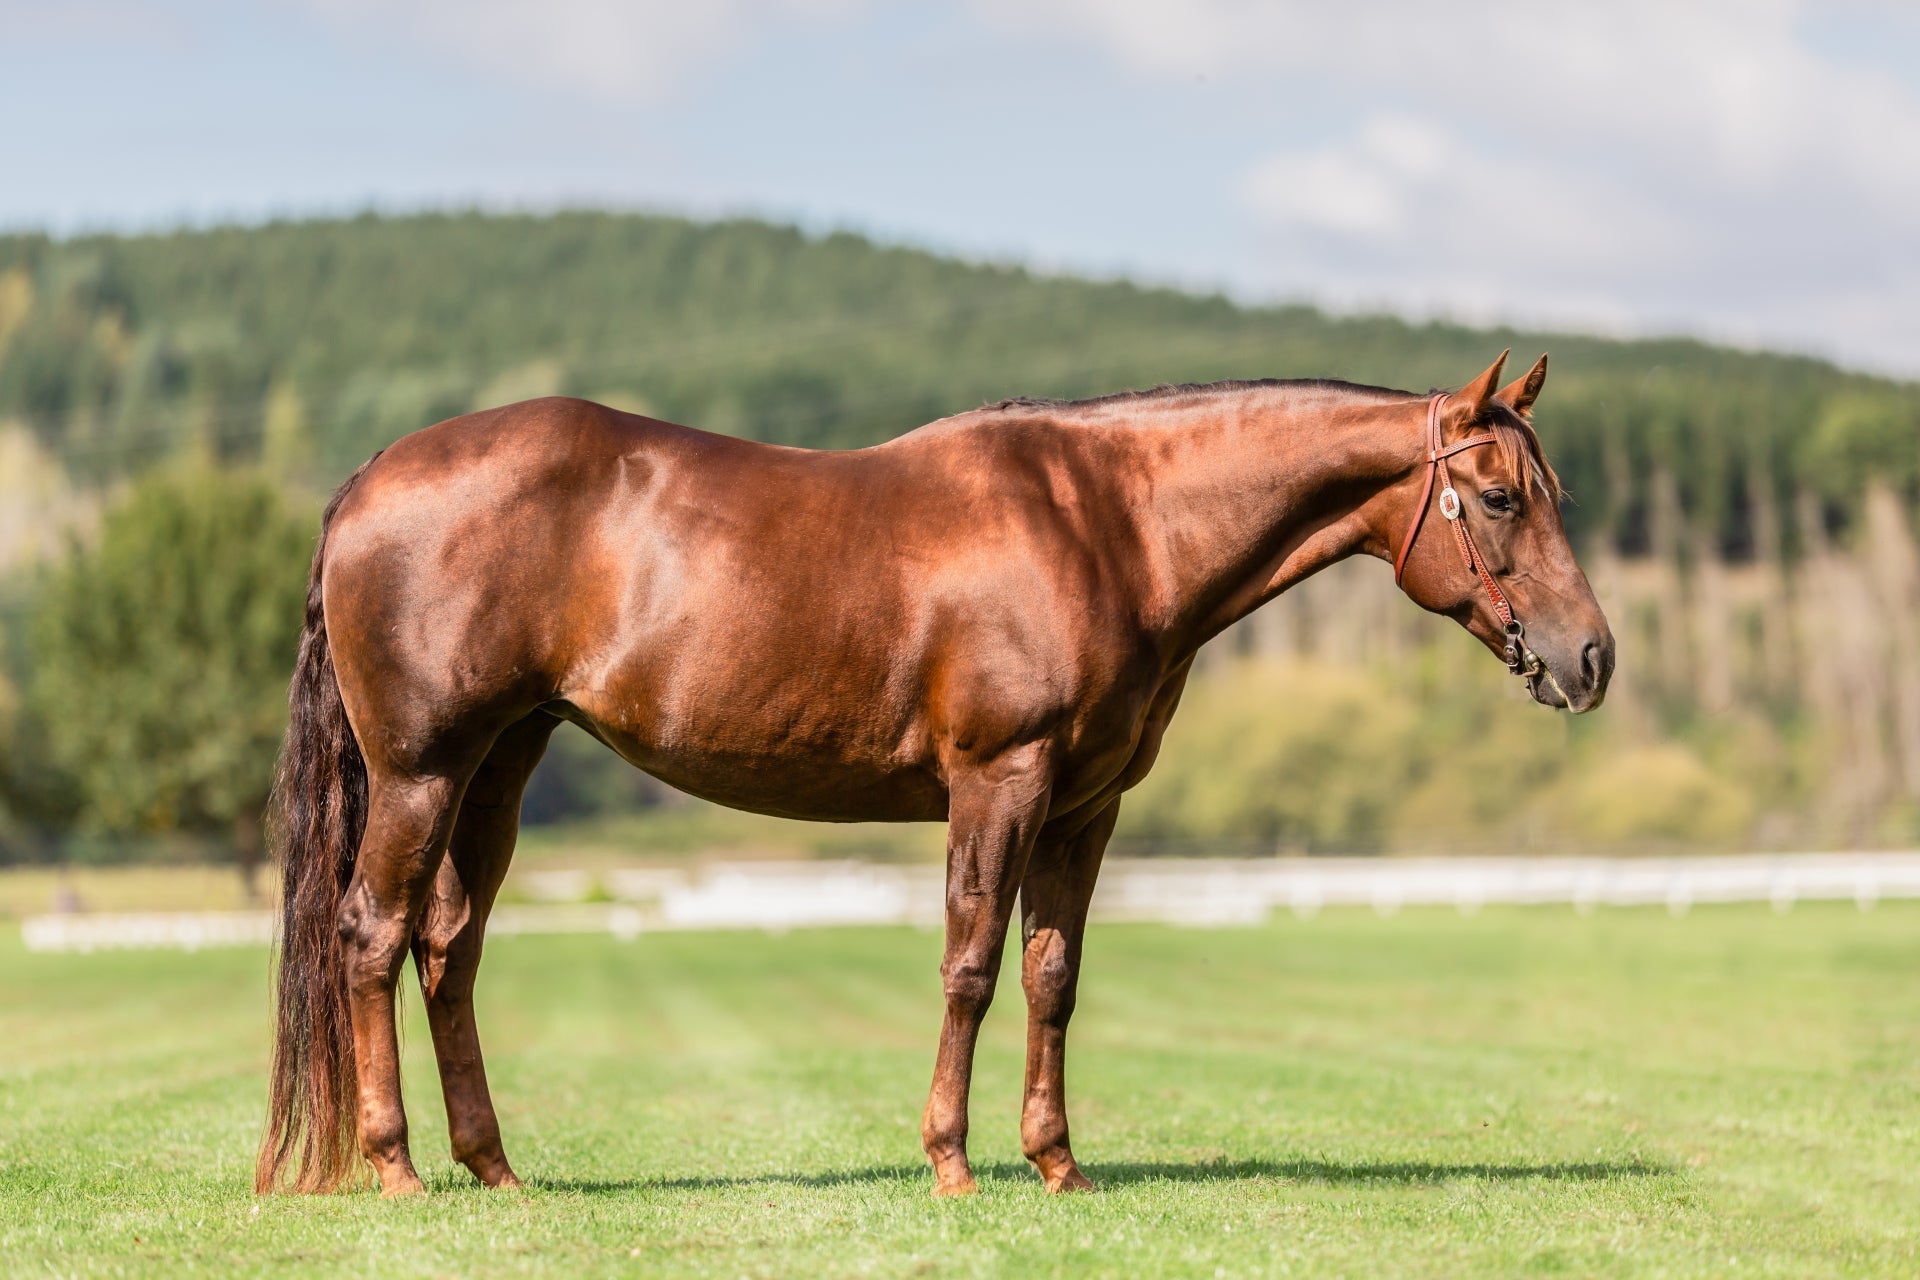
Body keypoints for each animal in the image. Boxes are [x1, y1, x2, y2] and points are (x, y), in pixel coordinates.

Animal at [256, 350, 1614, 1198]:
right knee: (371, 933)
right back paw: (395, 1163)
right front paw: (953, 1158)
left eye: (1548, 488)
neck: (1108, 523)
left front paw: (1058, 1161)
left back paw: (495, 1165)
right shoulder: (998, 780)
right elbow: (970, 963)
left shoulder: (1086, 805)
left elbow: (1053, 975)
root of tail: (372, 478)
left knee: (448, 948)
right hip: (423, 769)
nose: (1591, 656)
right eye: (1499, 496)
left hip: (501, 765)